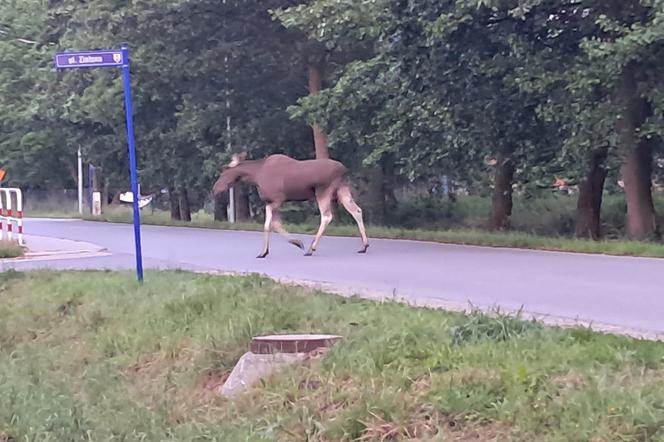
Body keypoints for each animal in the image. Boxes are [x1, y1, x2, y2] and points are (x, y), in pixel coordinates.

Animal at [213, 153, 368, 258]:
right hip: (341, 189)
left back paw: (311, 248)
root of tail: (344, 169)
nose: (215, 189)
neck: (255, 176)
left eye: (223, 173)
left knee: (327, 216)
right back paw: (364, 245)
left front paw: (297, 243)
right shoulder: (270, 202)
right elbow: (271, 225)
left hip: (323, 190)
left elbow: (271, 225)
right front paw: (264, 252)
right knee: (357, 210)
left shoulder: (276, 200)